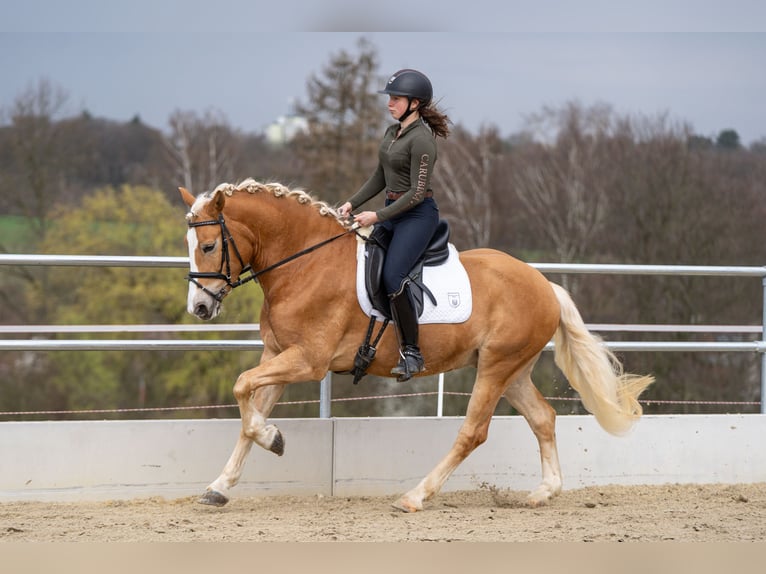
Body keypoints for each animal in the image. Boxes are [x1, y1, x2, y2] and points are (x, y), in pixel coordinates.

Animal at [179, 178, 654, 512]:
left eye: (209, 245)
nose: (200, 307)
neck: (305, 264)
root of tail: (543, 284)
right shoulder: (277, 355)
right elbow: (248, 412)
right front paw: (220, 486)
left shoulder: (306, 361)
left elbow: (242, 387)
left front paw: (273, 439)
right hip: (512, 369)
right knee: (543, 418)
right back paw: (544, 492)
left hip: (496, 367)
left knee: (473, 432)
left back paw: (415, 496)